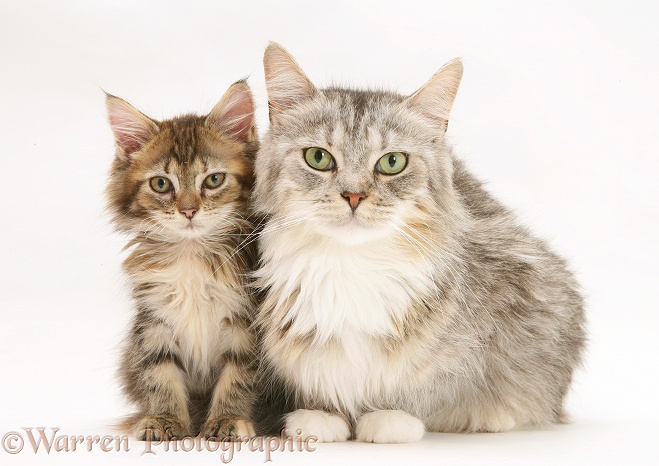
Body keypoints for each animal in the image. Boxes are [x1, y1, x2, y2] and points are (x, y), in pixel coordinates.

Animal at [104, 80, 260, 440]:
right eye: (161, 184)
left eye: (213, 180)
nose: (188, 211)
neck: (193, 254)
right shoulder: (153, 321)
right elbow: (160, 375)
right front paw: (165, 419)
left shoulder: (245, 323)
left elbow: (239, 377)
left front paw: (228, 419)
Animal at [251, 44, 588, 444]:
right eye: (318, 158)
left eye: (392, 162)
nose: (353, 196)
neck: (351, 265)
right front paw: (320, 415)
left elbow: (429, 387)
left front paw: (391, 416)